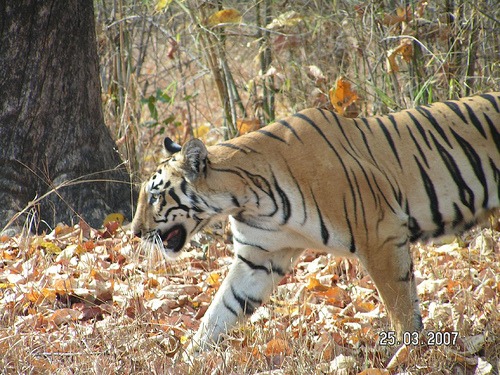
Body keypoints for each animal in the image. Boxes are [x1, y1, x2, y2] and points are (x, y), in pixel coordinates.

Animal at [131, 93, 498, 356]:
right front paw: (188, 360)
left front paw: (409, 357)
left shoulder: (381, 235)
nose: (134, 233)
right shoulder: (258, 258)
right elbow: (220, 311)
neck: (247, 198)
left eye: (155, 196)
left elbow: (401, 307)